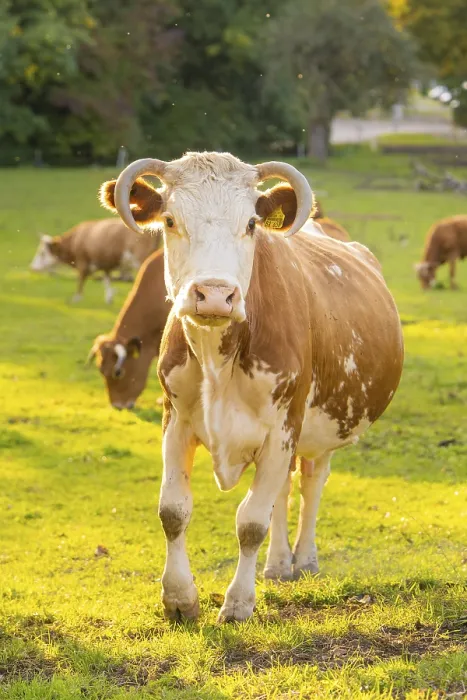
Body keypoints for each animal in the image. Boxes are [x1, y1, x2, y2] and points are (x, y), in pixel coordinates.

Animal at [30, 218, 161, 303]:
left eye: (42, 253)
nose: (32, 267)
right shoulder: (105, 262)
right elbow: (106, 279)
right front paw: (109, 297)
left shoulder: (82, 261)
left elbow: (81, 280)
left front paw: (77, 298)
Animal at [99, 152, 403, 623]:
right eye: (169, 220)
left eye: (250, 224)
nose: (214, 294)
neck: (218, 359)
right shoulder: (175, 420)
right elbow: (173, 511)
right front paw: (179, 598)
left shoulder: (283, 428)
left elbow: (252, 522)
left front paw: (238, 603)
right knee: (282, 489)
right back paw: (278, 564)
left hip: (322, 427)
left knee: (311, 482)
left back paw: (304, 558)